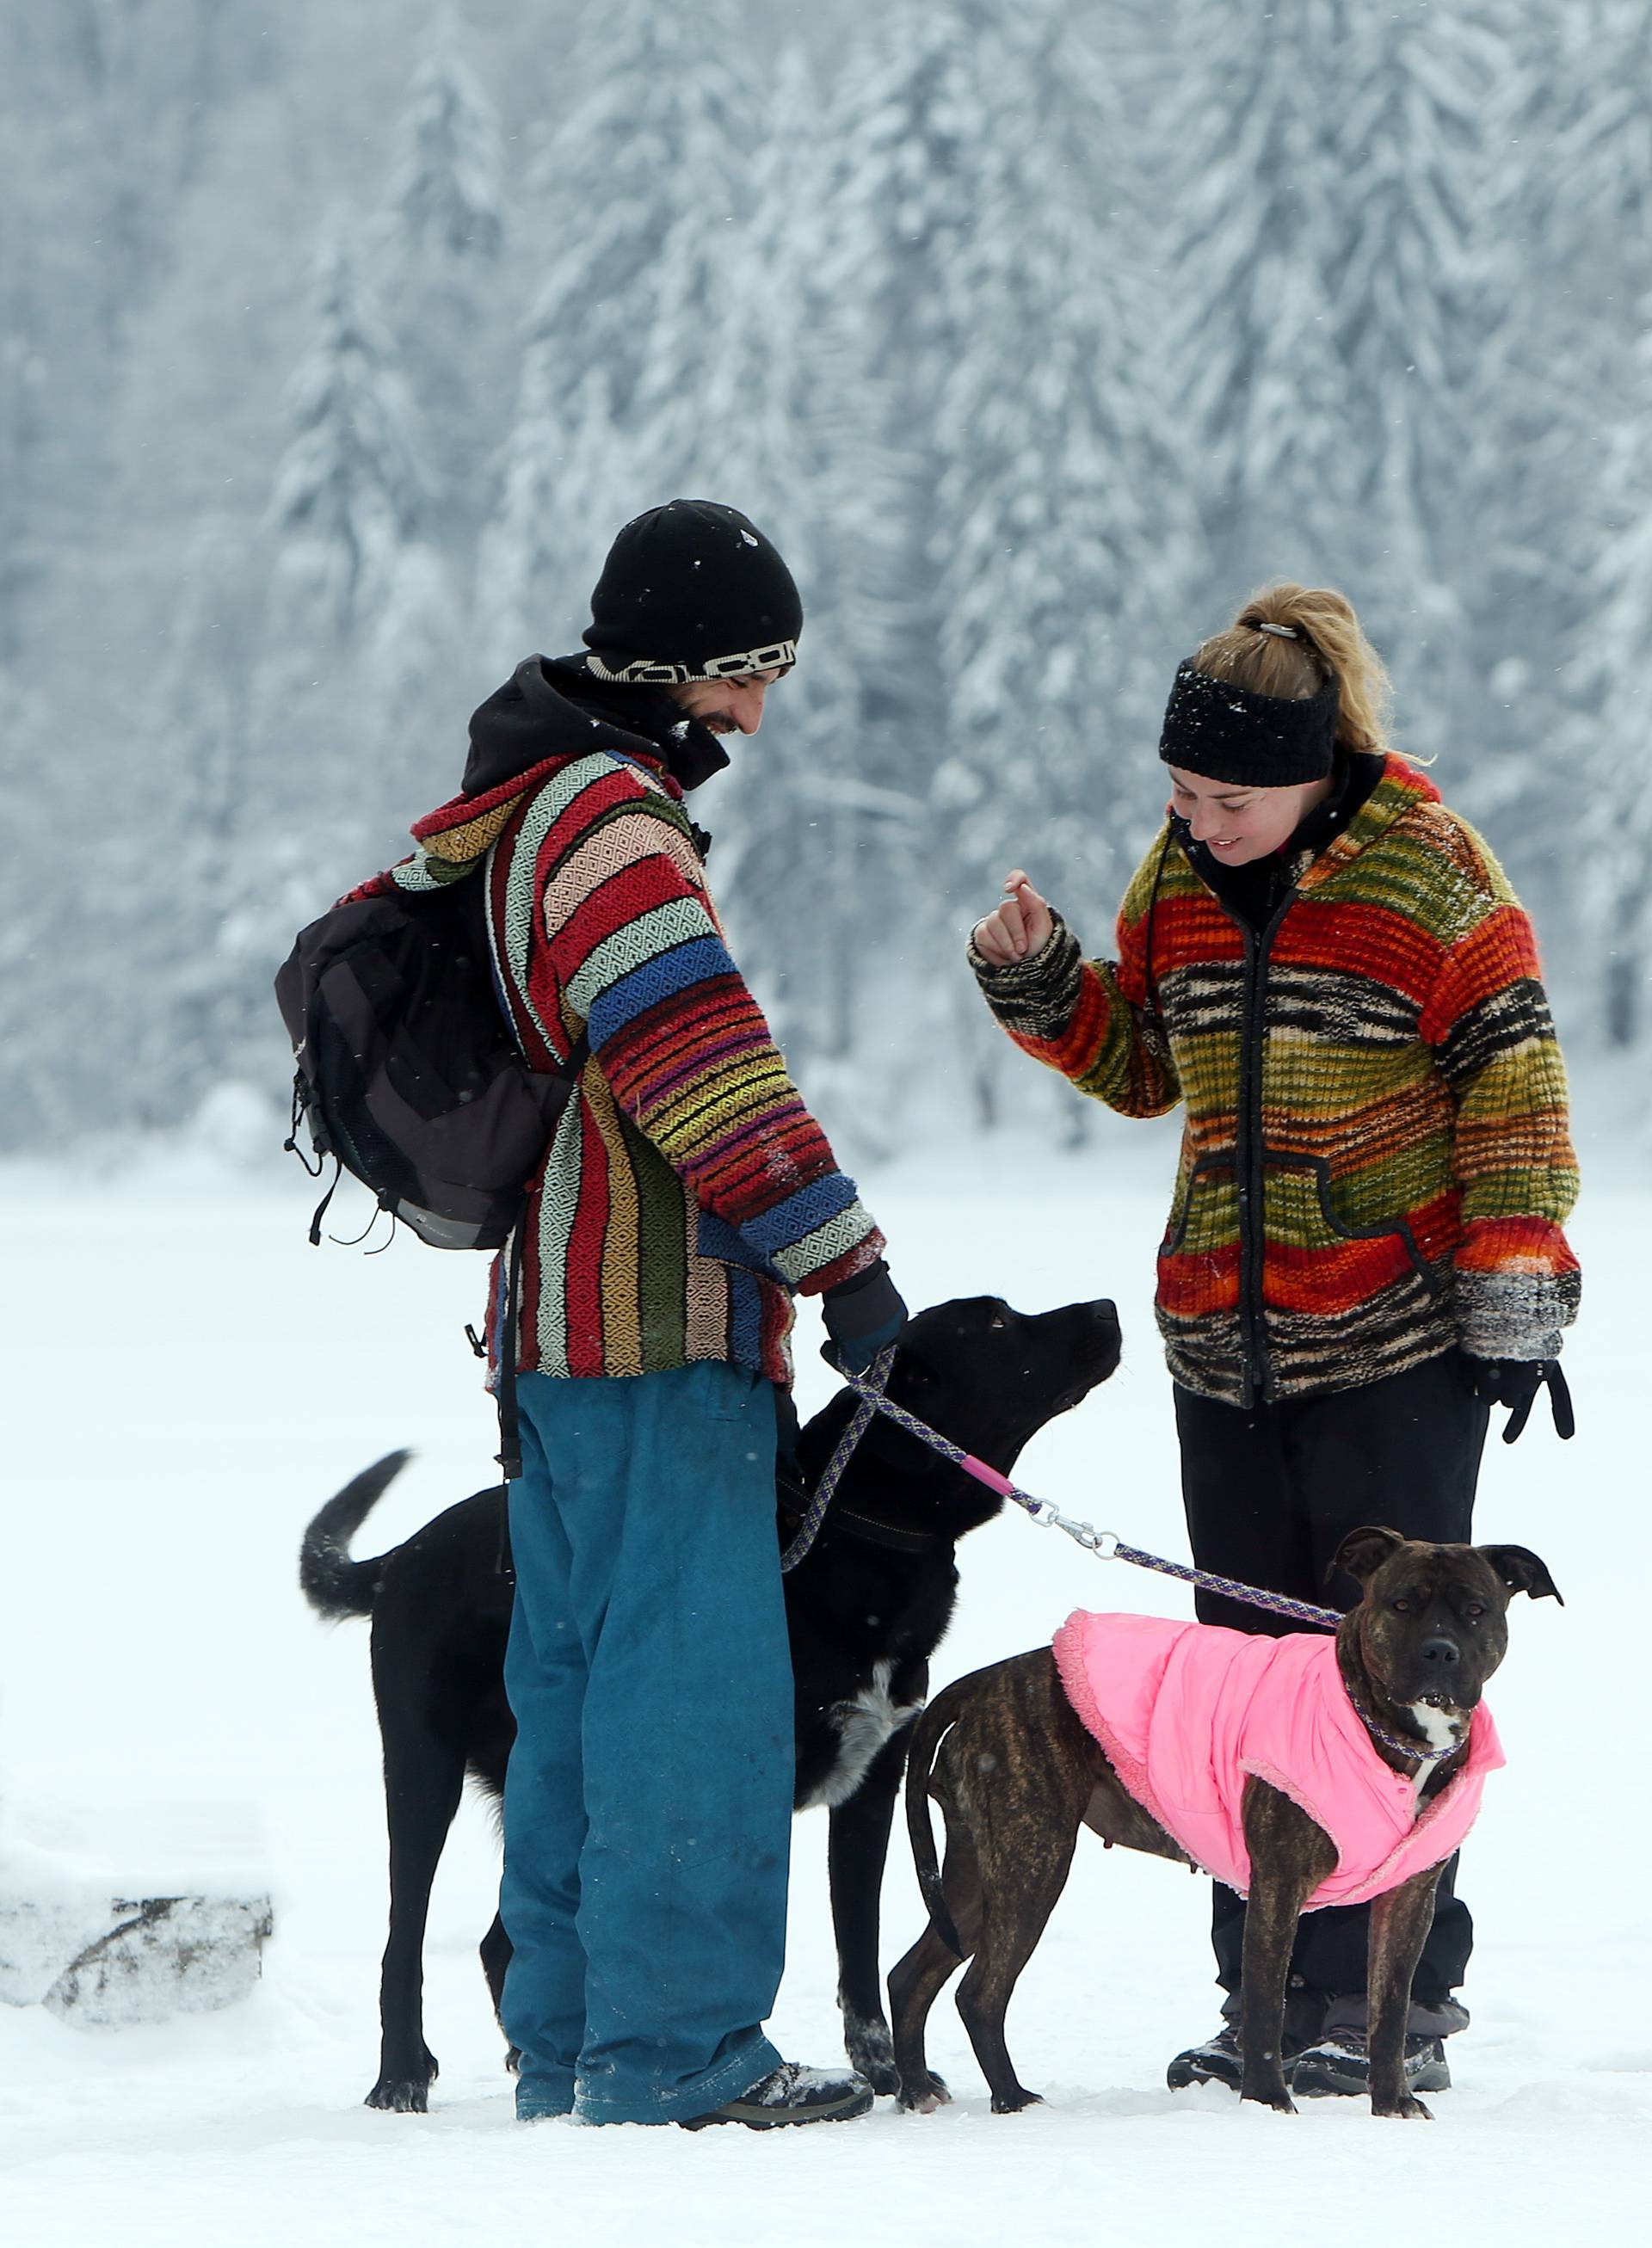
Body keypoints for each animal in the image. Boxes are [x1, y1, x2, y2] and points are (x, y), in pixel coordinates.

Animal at [299, 1295, 1124, 2113]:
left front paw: (888, 2072)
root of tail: (402, 1556)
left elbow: (859, 1947)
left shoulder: (875, 1779)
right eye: (995, 1324)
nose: (1108, 1307)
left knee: (505, 1935)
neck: (845, 1531)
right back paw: (401, 2075)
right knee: (403, 1939)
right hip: (420, 1768)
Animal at [890, 1528, 1564, 2122]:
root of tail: (983, 1682)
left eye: (1476, 1610)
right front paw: (1267, 2102)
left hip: (977, 1870)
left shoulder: (1408, 1898)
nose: (1440, 1651)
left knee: (911, 1974)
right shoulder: (1278, 1886)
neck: (1387, 1727)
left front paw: (1391, 2102)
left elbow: (1390, 2011)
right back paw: (1011, 2098)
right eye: (1401, 1605)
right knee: (980, 1992)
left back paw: (916, 2088)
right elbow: (1266, 2002)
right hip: (1032, 1857)